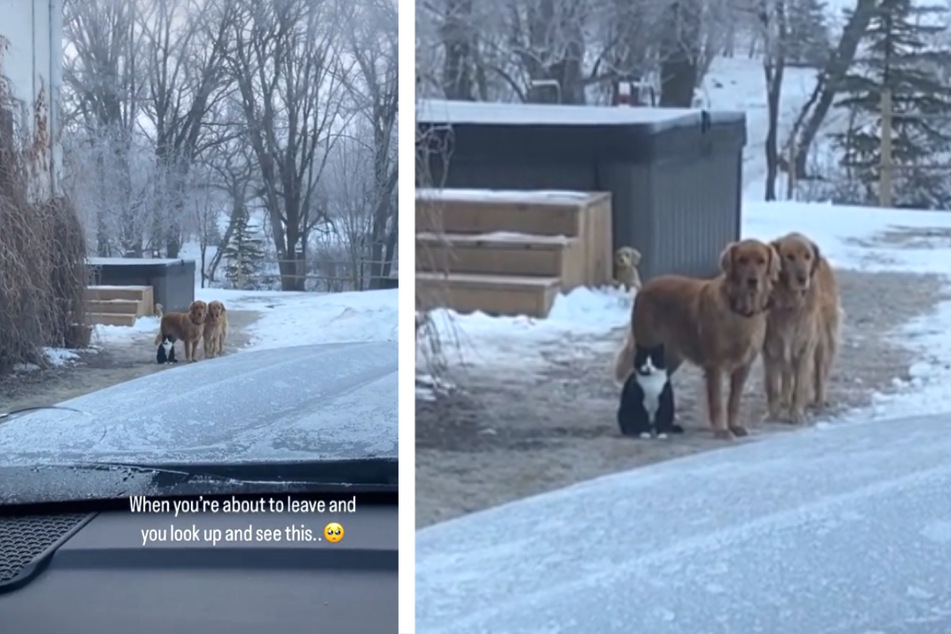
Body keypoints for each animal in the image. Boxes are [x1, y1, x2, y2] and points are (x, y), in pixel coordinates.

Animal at [616, 239, 780, 436]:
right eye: (742, 260)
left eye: (761, 261)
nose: (752, 281)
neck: (738, 311)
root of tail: (645, 287)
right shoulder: (716, 365)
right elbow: (717, 402)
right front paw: (721, 430)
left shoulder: (744, 366)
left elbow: (734, 402)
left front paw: (734, 426)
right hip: (649, 348)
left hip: (670, 357)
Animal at [764, 232, 844, 420]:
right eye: (789, 256)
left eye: (807, 257)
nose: (803, 278)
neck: (790, 303)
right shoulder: (772, 347)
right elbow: (772, 386)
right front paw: (773, 413)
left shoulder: (804, 347)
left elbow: (800, 385)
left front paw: (796, 414)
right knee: (786, 374)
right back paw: (785, 400)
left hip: (823, 341)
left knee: (820, 373)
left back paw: (819, 400)